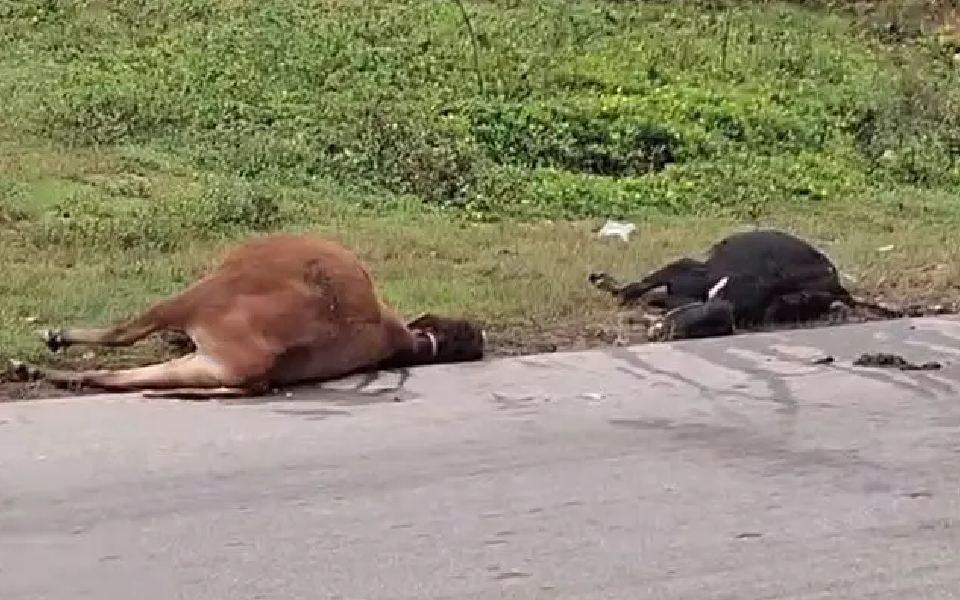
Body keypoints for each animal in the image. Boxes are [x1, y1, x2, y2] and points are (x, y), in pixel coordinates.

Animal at [8, 233, 486, 398]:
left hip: (198, 298)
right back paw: (35, 371)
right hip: (204, 362)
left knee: (124, 336)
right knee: (111, 377)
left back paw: (48, 345)